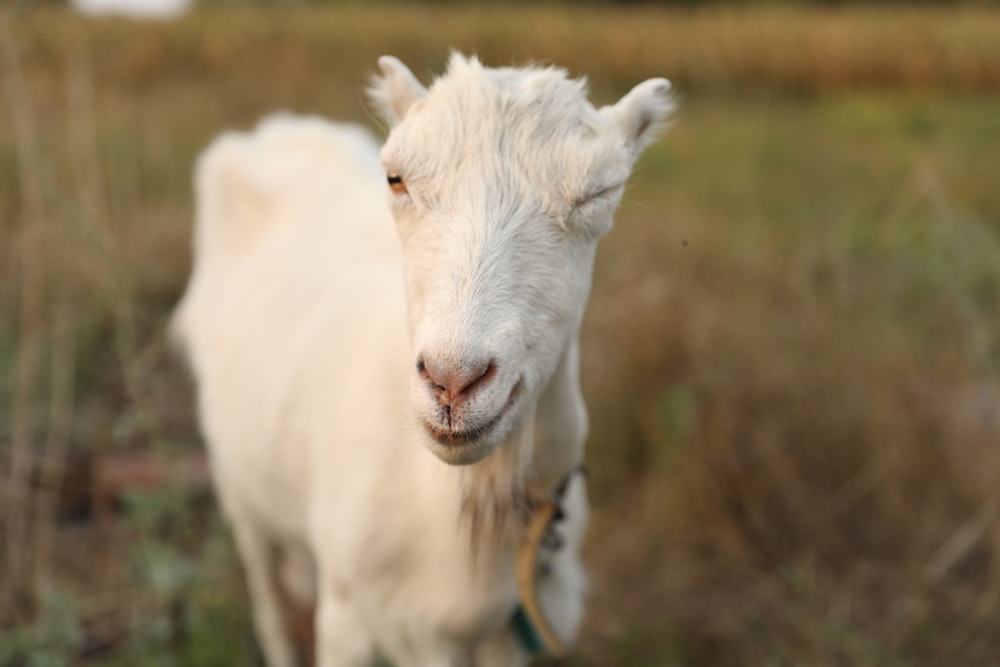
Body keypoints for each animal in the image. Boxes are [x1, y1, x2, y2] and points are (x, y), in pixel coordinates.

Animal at [174, 53, 672, 667]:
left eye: (600, 193)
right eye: (396, 178)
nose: (453, 381)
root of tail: (279, 130)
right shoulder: (352, 618)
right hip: (238, 483)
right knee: (267, 597)